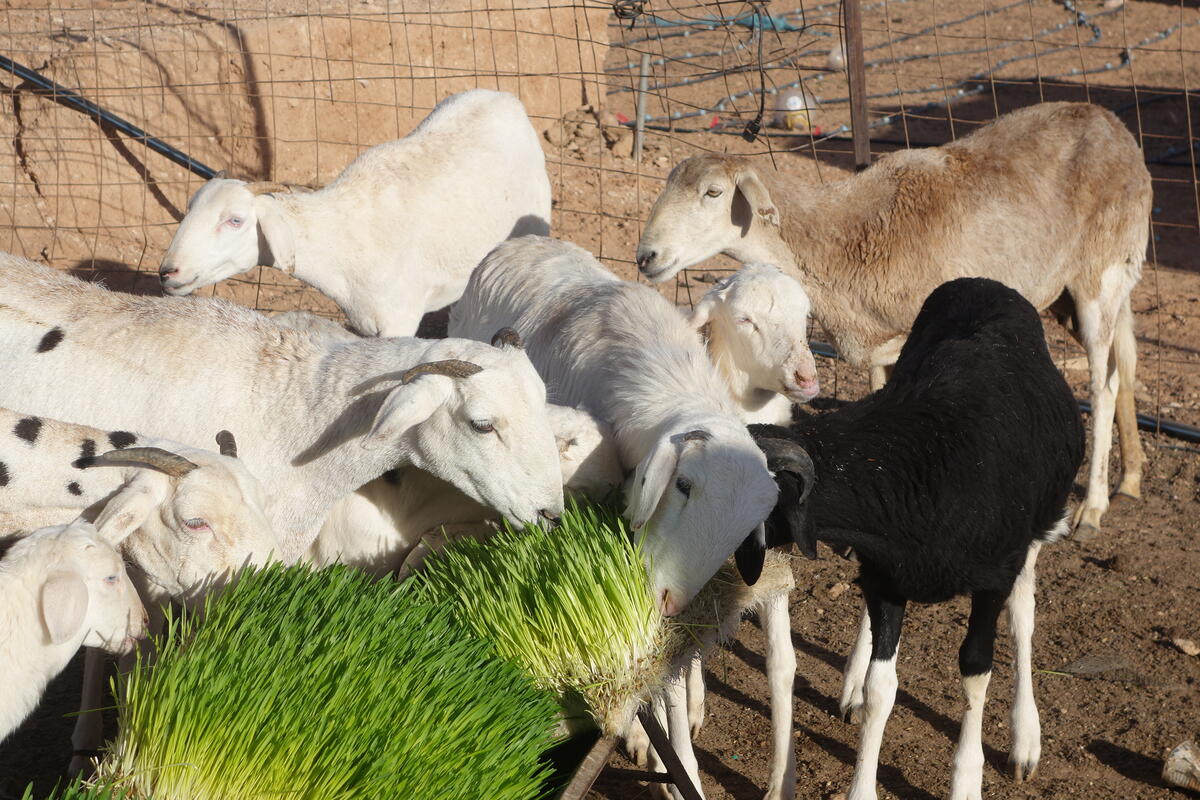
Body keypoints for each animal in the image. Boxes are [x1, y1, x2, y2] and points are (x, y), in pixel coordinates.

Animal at [750, 277, 1085, 800]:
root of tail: (984, 283)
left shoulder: (993, 579)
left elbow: (976, 669)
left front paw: (967, 780)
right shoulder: (888, 576)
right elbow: (880, 688)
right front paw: (862, 783)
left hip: (1034, 534)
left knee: (1023, 619)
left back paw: (1025, 736)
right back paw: (851, 684)